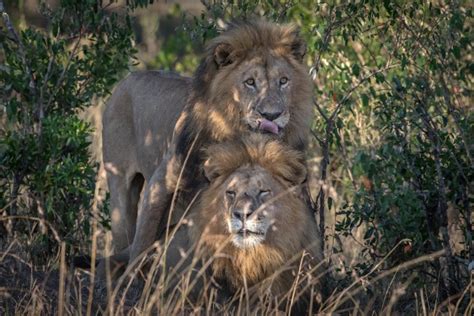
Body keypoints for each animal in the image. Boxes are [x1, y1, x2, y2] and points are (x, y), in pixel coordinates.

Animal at [101, 19, 312, 266]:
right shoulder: (159, 185)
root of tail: (126, 80)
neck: (239, 139)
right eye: (250, 82)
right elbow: (142, 243)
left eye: (284, 81)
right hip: (120, 191)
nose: (272, 115)